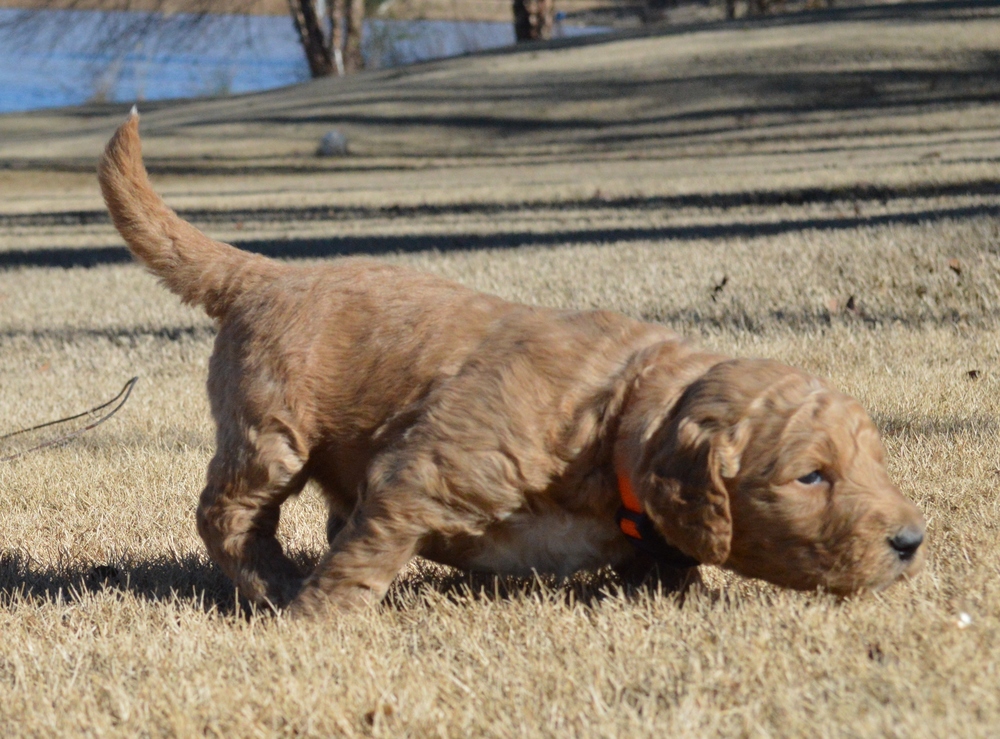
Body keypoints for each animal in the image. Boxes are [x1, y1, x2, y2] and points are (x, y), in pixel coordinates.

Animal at [97, 114, 924, 612]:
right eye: (811, 476)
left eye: (875, 463)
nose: (911, 541)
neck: (614, 416)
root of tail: (267, 272)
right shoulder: (421, 473)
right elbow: (367, 550)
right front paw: (318, 616)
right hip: (270, 430)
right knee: (228, 511)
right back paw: (271, 584)